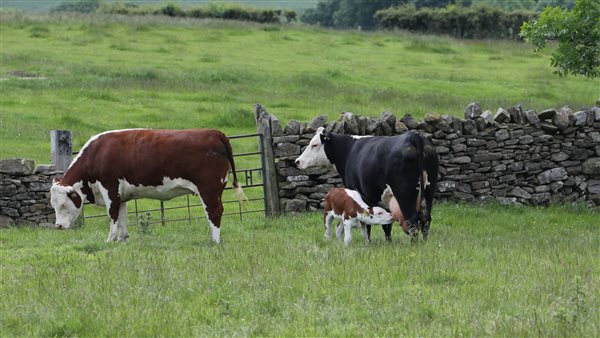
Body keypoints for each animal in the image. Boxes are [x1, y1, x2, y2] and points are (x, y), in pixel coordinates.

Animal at [50, 129, 244, 243]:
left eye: (63, 204)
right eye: (53, 205)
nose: (58, 226)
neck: (97, 153)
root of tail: (214, 132)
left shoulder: (109, 186)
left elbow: (112, 215)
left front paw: (110, 240)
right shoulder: (121, 194)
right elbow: (122, 216)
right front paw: (122, 240)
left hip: (209, 188)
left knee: (214, 211)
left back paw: (214, 241)